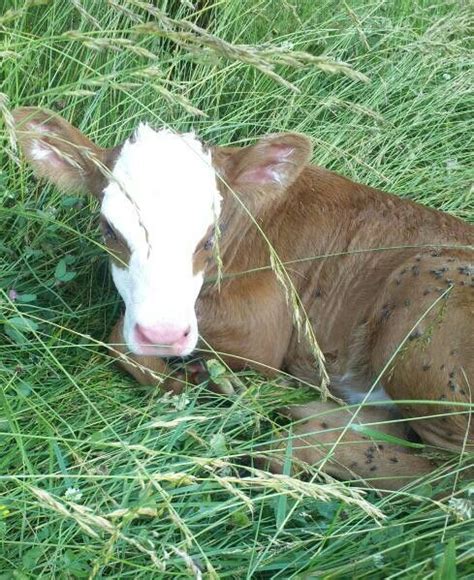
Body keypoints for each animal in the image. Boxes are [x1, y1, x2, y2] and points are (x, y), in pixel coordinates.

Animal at [12, 105, 472, 490]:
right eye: (108, 228)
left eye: (210, 235)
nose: (162, 333)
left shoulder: (261, 338)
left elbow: (119, 342)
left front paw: (206, 382)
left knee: (446, 475)